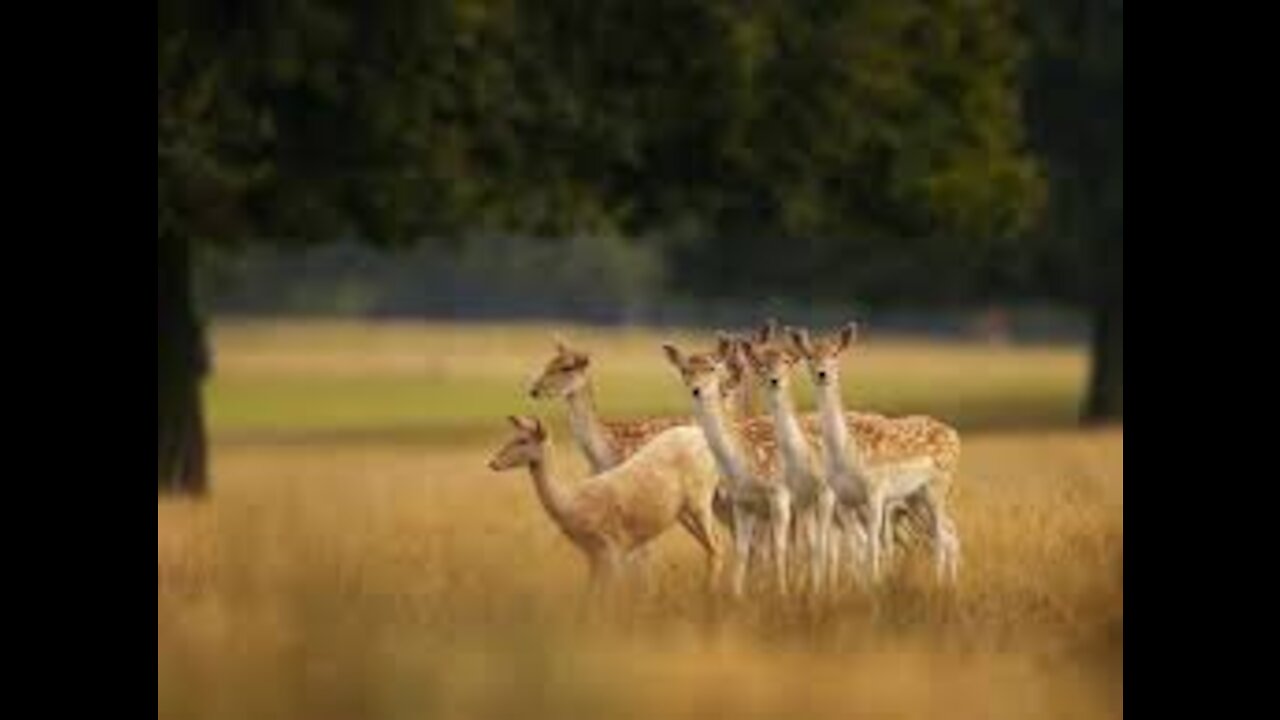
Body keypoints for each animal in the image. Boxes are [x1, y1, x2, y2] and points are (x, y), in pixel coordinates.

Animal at [483, 415, 727, 594]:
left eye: (523, 440)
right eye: (513, 435)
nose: (493, 463)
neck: (571, 504)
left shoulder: (612, 548)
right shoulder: (593, 556)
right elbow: (589, 599)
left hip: (700, 500)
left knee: (716, 546)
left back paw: (709, 595)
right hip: (683, 512)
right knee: (711, 546)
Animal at [788, 322, 962, 579]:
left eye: (835, 353)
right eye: (809, 355)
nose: (822, 373)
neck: (848, 454)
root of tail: (956, 437)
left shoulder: (876, 491)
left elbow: (872, 549)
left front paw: (876, 584)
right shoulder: (844, 499)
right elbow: (856, 549)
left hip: (938, 486)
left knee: (942, 536)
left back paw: (940, 582)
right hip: (915, 496)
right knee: (949, 533)